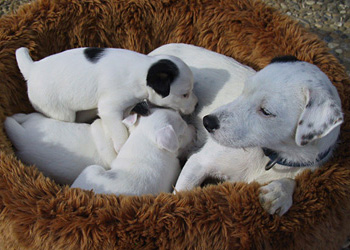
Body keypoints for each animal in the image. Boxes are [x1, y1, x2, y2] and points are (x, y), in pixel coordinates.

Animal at [15, 47, 197, 152]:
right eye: (185, 94)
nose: (196, 104)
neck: (143, 72)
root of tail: (32, 68)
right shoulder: (110, 108)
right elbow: (120, 130)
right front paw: (121, 146)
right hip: (60, 112)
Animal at [149, 44, 344, 216]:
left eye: (266, 111)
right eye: (244, 91)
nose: (207, 122)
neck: (269, 155)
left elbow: (291, 181)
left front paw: (280, 192)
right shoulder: (198, 163)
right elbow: (183, 194)